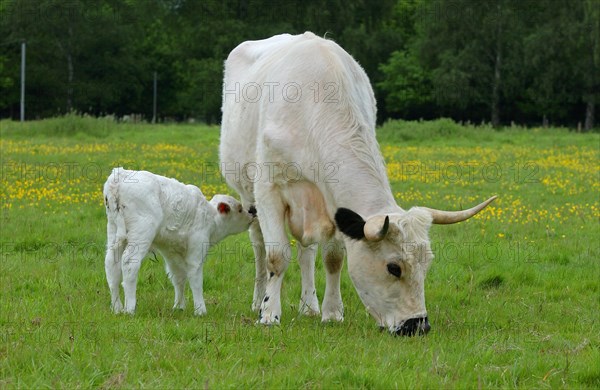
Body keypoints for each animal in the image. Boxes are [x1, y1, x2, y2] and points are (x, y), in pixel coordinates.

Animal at [103, 167, 255, 314]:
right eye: (239, 209)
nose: (252, 213)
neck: (211, 218)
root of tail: (119, 175)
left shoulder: (172, 253)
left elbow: (178, 277)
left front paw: (179, 306)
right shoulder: (196, 250)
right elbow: (195, 279)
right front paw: (200, 310)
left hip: (114, 232)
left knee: (112, 265)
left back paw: (117, 308)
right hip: (141, 233)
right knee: (129, 263)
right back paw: (129, 309)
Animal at [218, 32, 494, 336]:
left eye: (428, 264)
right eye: (394, 267)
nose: (418, 325)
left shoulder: (333, 202)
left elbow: (333, 258)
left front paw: (332, 312)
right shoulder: (269, 191)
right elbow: (277, 255)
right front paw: (269, 314)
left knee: (306, 252)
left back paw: (309, 306)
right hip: (248, 196)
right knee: (259, 247)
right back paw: (258, 301)